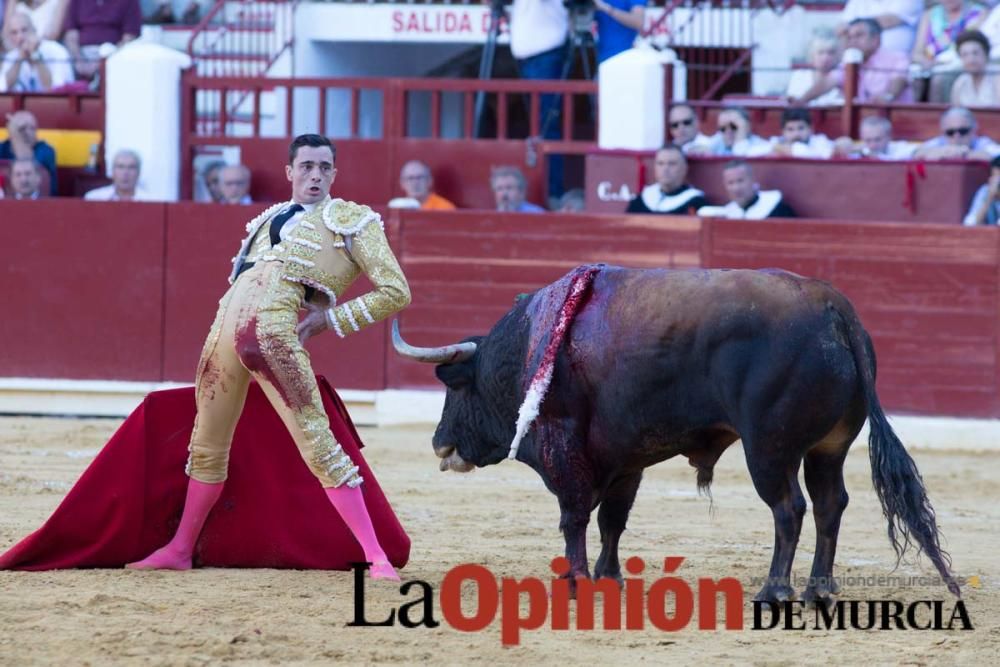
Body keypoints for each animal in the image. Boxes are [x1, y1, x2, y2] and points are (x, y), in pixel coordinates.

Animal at [392, 268, 960, 604]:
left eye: (456, 388)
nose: (440, 444)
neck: (528, 350)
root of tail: (834, 309)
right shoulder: (624, 457)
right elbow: (613, 520)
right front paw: (609, 577)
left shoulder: (565, 446)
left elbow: (574, 516)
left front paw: (574, 580)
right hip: (829, 449)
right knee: (829, 504)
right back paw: (820, 588)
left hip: (769, 450)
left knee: (789, 509)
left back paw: (774, 590)